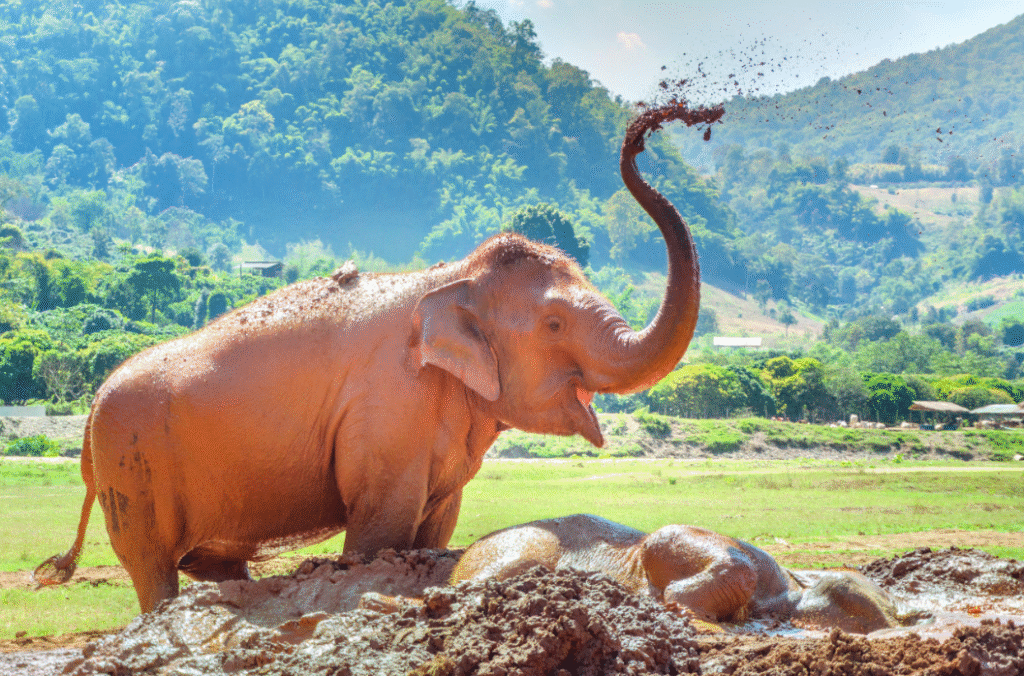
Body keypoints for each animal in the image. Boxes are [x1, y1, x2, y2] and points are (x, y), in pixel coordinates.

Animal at [34, 111, 701, 613]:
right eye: (555, 324)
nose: (645, 131)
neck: (451, 276)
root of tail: (89, 411)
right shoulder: (387, 410)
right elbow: (380, 527)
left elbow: (435, 529)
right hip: (131, 468)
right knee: (152, 566)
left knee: (216, 566)